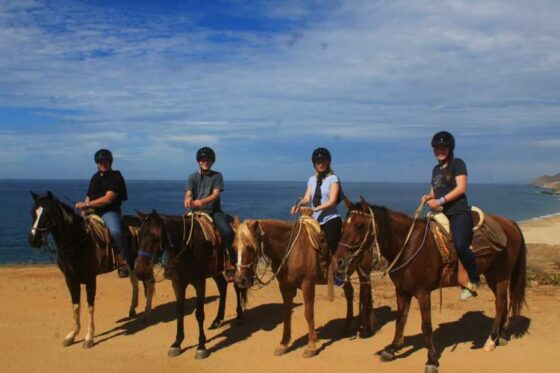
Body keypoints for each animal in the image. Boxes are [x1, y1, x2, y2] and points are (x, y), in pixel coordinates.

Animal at [27, 190, 154, 348]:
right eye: (33, 212)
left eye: (47, 214)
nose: (33, 240)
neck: (77, 240)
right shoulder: (70, 279)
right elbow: (75, 306)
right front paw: (72, 335)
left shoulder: (90, 279)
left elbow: (89, 306)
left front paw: (89, 337)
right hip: (131, 263)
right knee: (135, 283)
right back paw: (132, 309)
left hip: (143, 262)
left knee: (149, 284)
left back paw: (147, 313)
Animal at [133, 209, 247, 358]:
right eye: (139, 236)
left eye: (155, 237)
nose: (140, 271)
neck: (187, 248)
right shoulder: (178, 283)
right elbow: (179, 312)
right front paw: (177, 343)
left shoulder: (199, 282)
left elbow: (199, 314)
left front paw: (201, 346)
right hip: (215, 272)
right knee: (222, 287)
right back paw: (217, 320)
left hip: (234, 268)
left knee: (237, 288)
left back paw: (239, 316)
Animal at [334, 196, 528, 370]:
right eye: (343, 226)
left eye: (359, 226)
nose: (339, 261)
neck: (407, 245)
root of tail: (509, 223)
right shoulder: (402, 291)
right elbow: (400, 320)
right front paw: (392, 348)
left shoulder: (422, 292)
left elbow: (426, 326)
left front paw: (432, 360)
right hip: (491, 276)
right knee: (505, 302)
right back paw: (503, 336)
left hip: (501, 275)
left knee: (500, 303)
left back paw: (491, 340)